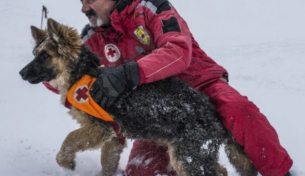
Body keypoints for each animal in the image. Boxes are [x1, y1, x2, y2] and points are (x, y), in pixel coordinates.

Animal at [19, 18, 256, 176]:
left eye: (45, 56)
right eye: (35, 55)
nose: (21, 73)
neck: (82, 73)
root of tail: (214, 114)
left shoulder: (99, 129)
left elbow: (69, 140)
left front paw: (67, 163)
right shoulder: (113, 137)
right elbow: (107, 162)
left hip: (185, 157)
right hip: (197, 153)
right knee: (221, 170)